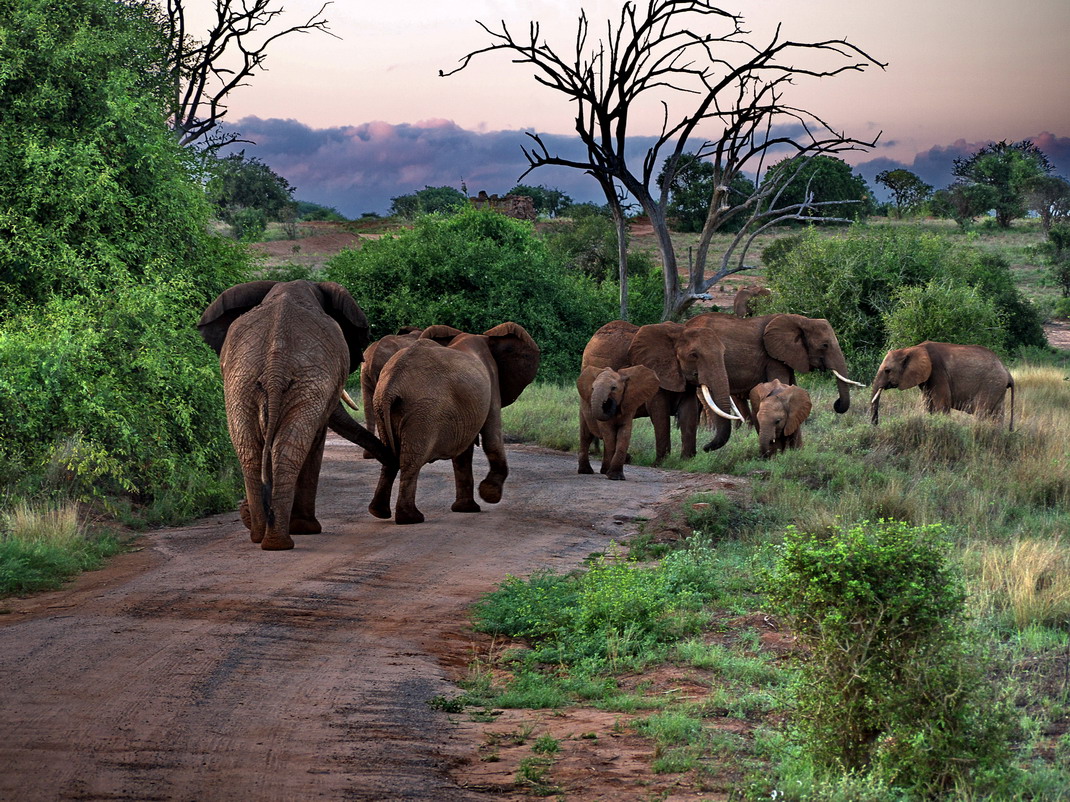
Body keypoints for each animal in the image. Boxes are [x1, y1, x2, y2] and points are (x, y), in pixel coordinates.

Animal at [199, 280, 395, 551]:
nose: (381, 512)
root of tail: (275, 368)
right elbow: (316, 439)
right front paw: (306, 529)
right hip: (289, 383)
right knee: (287, 449)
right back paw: (282, 539)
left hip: (245, 383)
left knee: (251, 450)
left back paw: (262, 537)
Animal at [368, 322, 539, 523]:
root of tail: (391, 386)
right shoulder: (492, 384)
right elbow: (492, 437)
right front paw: (489, 495)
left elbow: (463, 455)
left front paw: (466, 509)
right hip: (423, 412)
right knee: (411, 460)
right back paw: (410, 518)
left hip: (381, 406)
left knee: (388, 456)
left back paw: (379, 512)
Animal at [577, 316, 744, 464]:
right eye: (694, 355)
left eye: (724, 353)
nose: (705, 447)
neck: (679, 332)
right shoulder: (654, 370)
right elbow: (659, 413)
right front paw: (661, 462)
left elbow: (688, 412)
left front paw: (686, 461)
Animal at [868, 340, 1010, 429]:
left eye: (887, 370)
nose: (875, 425)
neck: (912, 348)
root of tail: (1006, 371)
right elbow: (928, 404)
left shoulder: (937, 372)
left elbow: (942, 405)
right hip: (997, 387)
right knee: (997, 415)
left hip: (991, 384)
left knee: (981, 412)